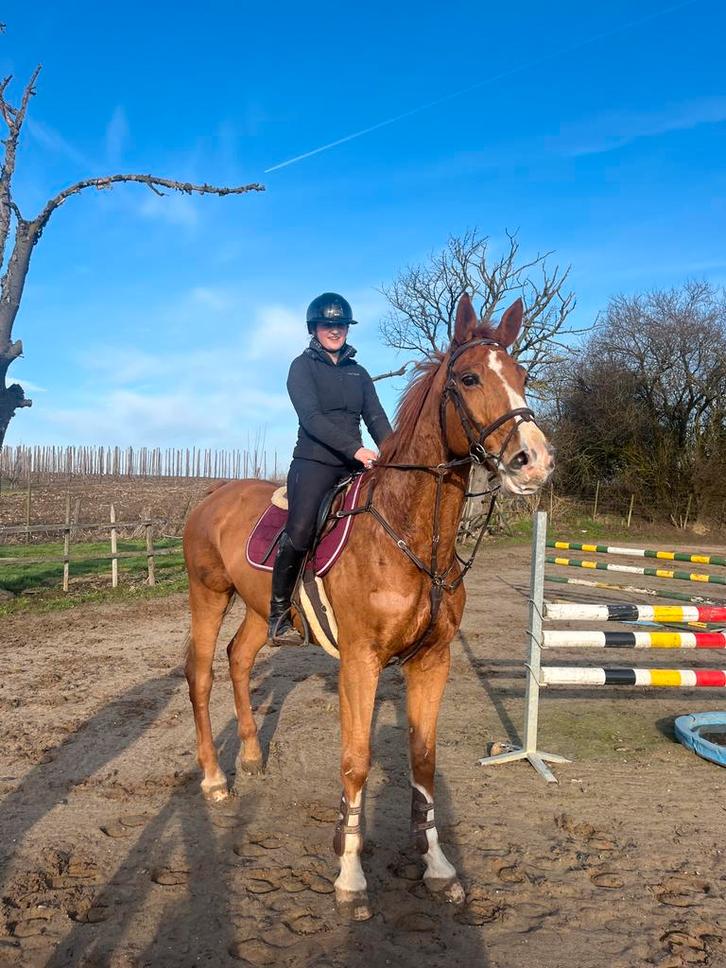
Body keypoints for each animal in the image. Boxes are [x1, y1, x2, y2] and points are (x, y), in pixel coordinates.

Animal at [182, 292, 554, 920]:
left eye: (523, 376)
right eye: (470, 377)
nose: (535, 461)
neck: (410, 534)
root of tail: (214, 495)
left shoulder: (433, 661)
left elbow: (423, 761)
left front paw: (438, 868)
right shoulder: (361, 662)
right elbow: (355, 761)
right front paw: (350, 875)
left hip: (259, 611)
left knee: (238, 658)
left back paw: (252, 757)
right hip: (207, 596)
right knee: (202, 673)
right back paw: (214, 779)